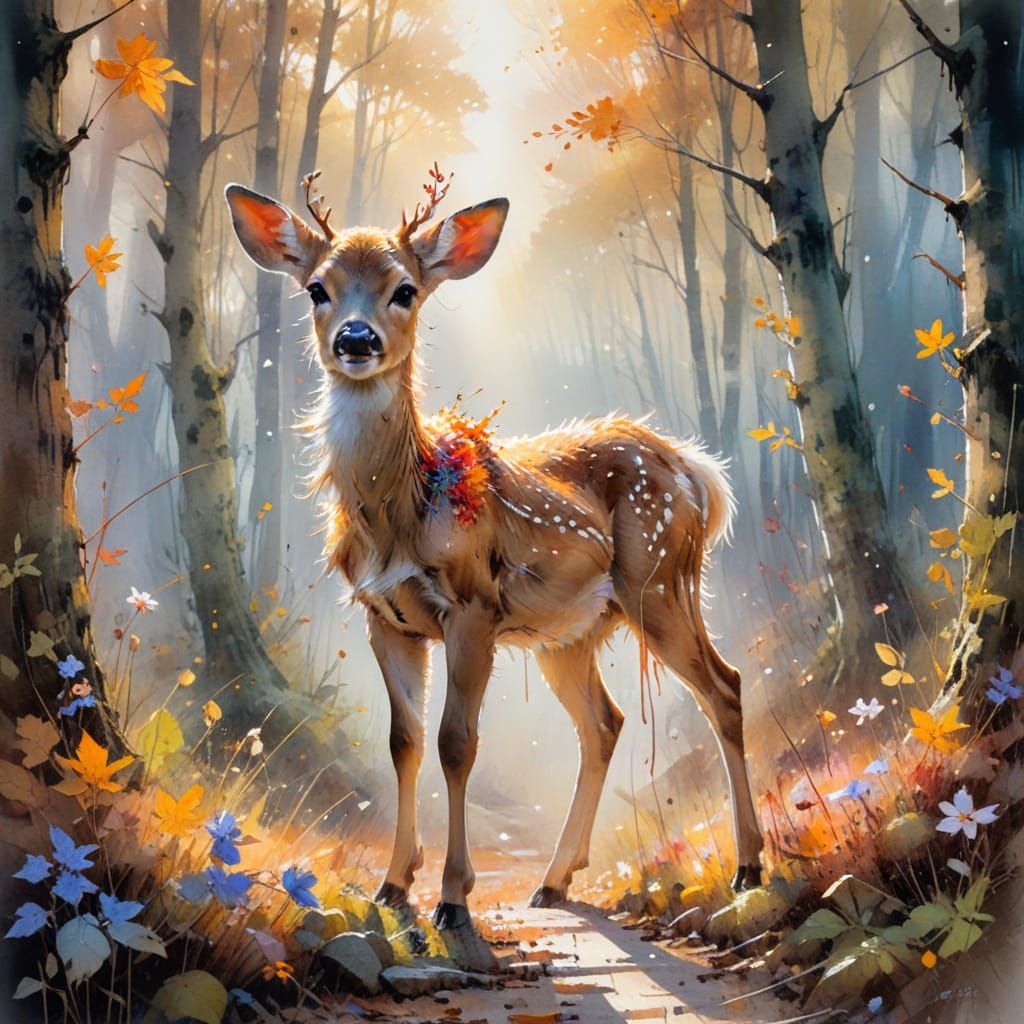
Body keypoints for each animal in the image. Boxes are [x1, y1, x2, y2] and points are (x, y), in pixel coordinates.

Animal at [225, 170, 763, 930]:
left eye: (404, 289)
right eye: (317, 289)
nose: (356, 339)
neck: (397, 516)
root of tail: (696, 470)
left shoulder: (472, 604)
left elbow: (457, 742)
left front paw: (453, 898)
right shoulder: (384, 618)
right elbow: (403, 742)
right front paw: (392, 887)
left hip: (661, 579)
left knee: (726, 687)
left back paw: (749, 867)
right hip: (569, 632)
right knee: (604, 722)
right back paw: (555, 880)